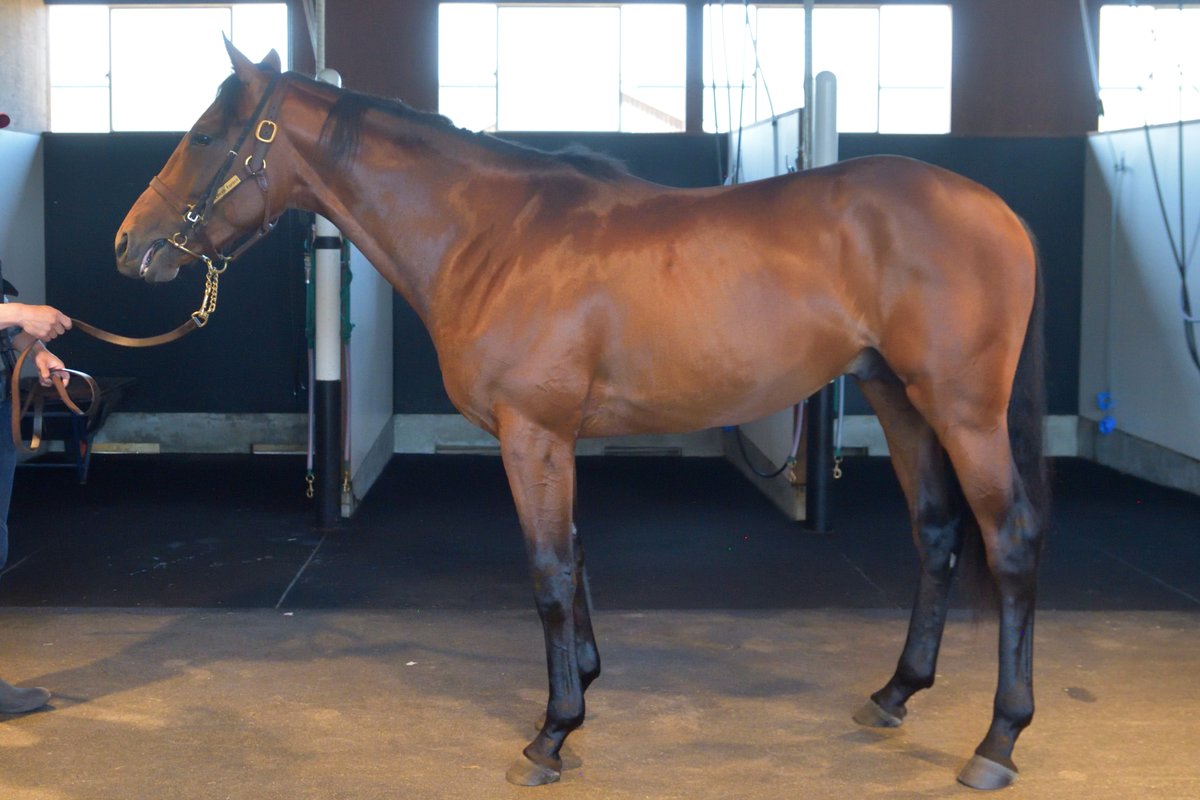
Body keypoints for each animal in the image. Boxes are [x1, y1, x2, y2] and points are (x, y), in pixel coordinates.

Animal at [113, 42, 1048, 791]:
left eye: (205, 135)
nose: (129, 246)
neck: (493, 238)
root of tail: (997, 210)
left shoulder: (532, 435)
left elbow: (550, 573)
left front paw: (552, 734)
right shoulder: (556, 438)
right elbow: (575, 554)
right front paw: (586, 685)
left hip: (962, 411)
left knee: (1009, 544)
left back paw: (997, 742)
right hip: (898, 398)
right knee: (936, 534)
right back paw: (895, 693)